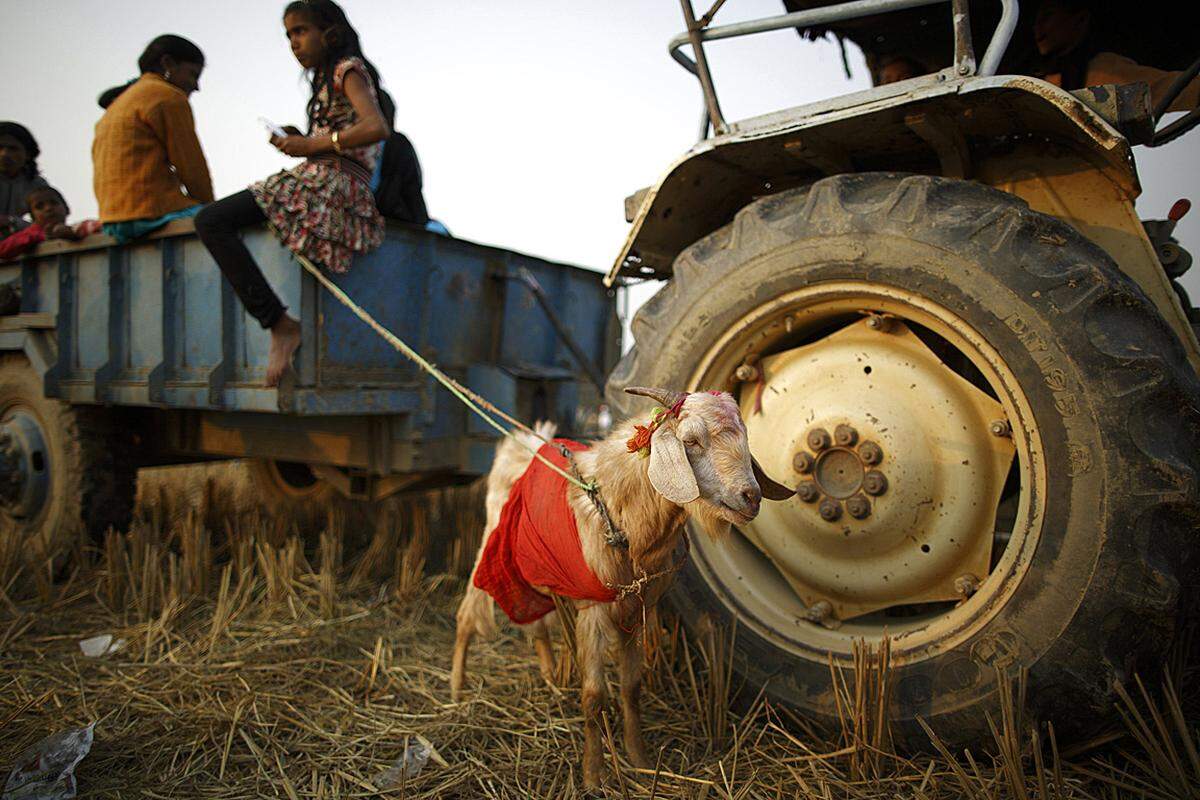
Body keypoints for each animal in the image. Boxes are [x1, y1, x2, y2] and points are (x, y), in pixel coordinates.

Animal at [451, 388, 796, 786]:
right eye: (691, 441)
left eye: (745, 438)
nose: (750, 497)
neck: (620, 507)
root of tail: (519, 446)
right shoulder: (593, 610)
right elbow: (594, 695)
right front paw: (593, 775)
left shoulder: (635, 611)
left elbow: (632, 688)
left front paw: (639, 758)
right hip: (490, 552)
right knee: (466, 617)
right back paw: (457, 691)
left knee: (536, 625)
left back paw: (551, 679)